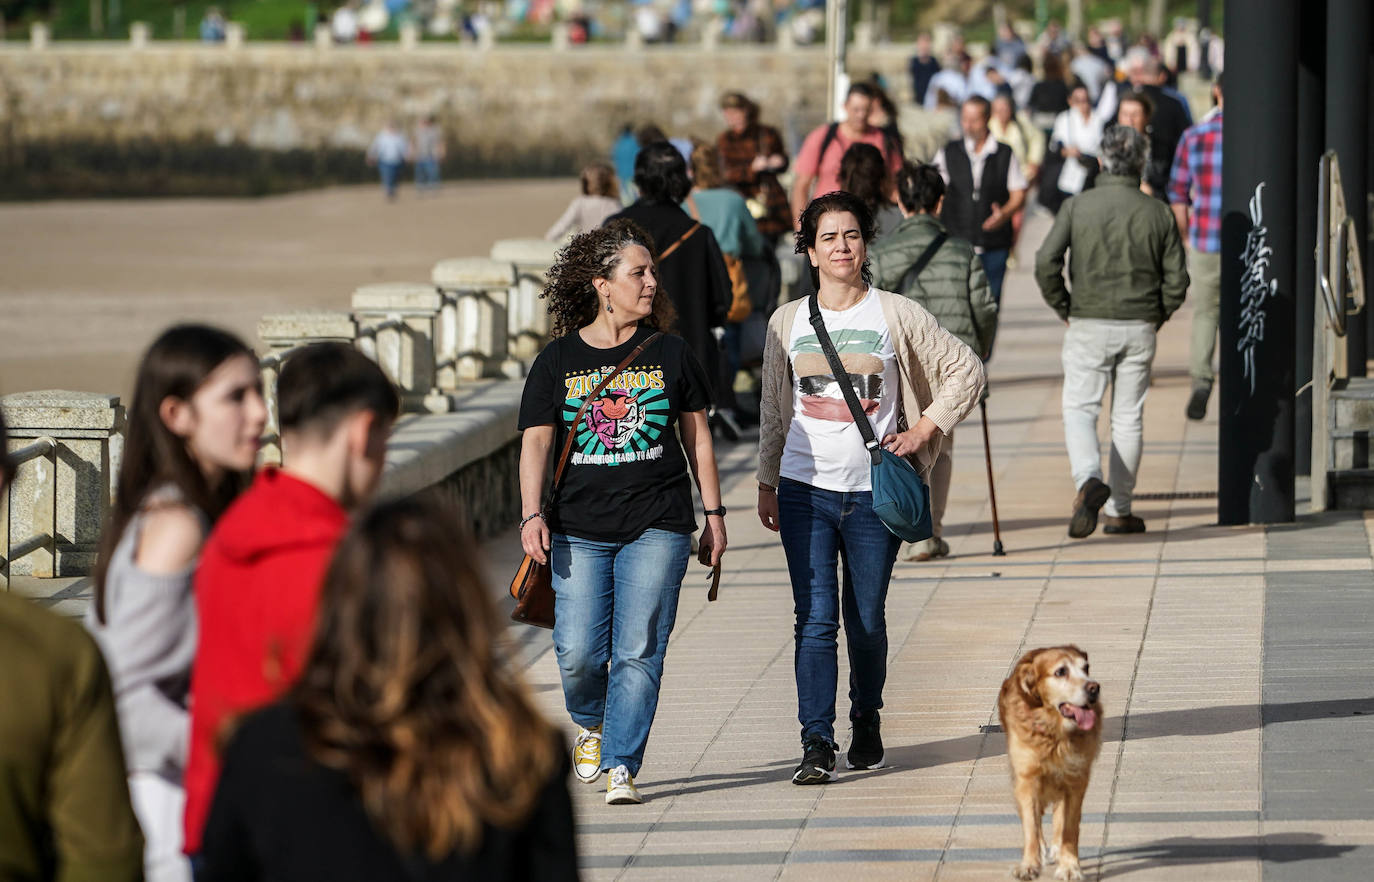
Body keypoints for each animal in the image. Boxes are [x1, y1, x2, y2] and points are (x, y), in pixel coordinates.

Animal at [994, 642, 1099, 873]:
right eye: (1060, 671)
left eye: (1086, 668)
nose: (1094, 688)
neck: (1055, 734)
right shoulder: (1027, 777)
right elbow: (1031, 824)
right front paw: (1030, 864)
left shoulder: (1076, 779)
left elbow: (1069, 827)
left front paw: (1069, 865)